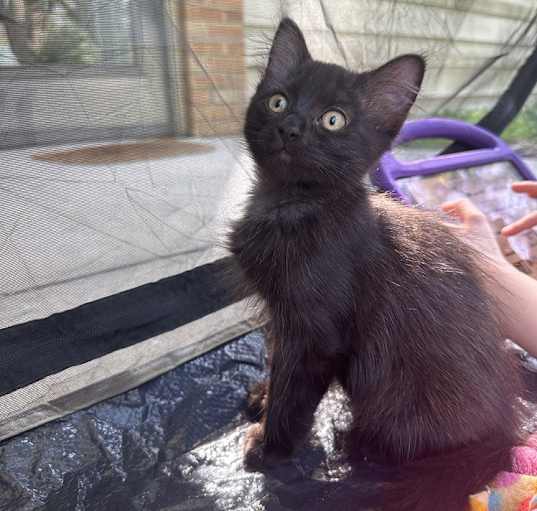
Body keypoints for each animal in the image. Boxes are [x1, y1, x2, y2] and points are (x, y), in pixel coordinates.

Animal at [228, 17, 520, 511]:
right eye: (278, 100)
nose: (290, 127)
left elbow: (293, 392)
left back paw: (354, 444)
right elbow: (275, 359)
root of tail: (503, 428)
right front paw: (263, 396)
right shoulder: (282, 315)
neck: (291, 205)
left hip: (396, 399)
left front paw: (269, 447)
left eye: (333, 120)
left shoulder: (316, 332)